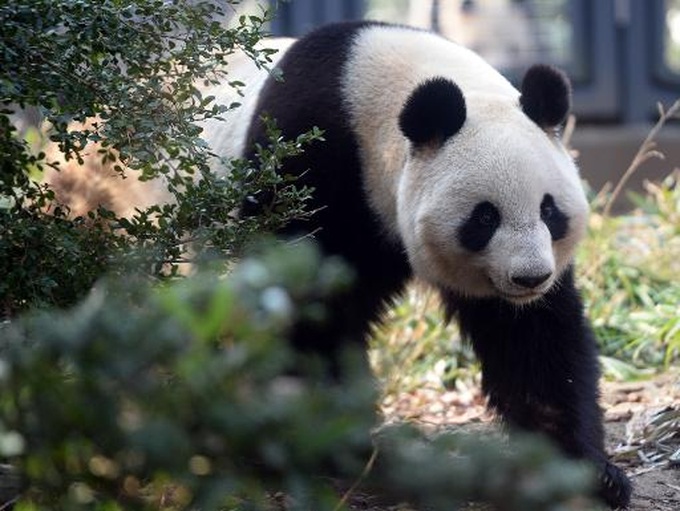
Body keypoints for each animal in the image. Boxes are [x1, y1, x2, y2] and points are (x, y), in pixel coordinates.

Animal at [205, 21, 632, 509]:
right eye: (485, 217)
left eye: (549, 210)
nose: (530, 277)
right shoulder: (308, 167)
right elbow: (307, 312)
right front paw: (328, 438)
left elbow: (534, 340)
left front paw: (587, 471)